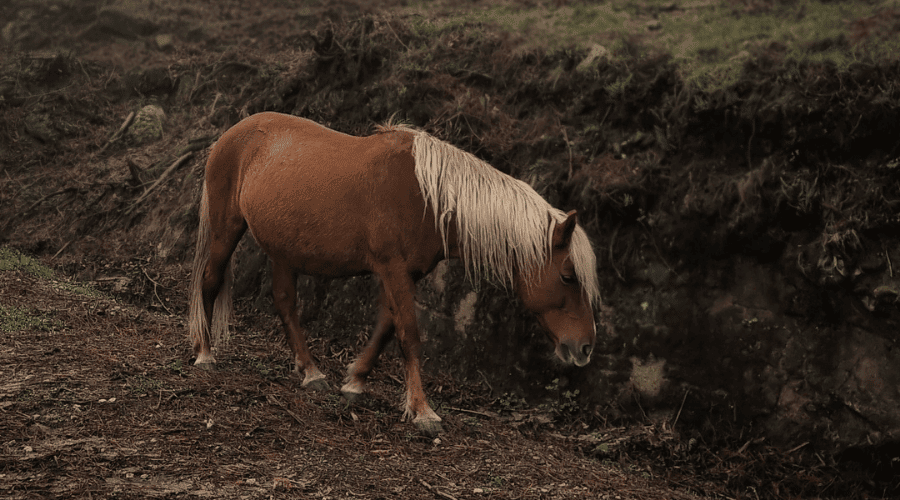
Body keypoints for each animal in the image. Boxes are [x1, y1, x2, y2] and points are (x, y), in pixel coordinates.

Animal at [188, 112, 602, 436]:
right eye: (568, 276)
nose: (585, 347)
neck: (425, 195)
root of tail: (233, 133)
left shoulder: (406, 273)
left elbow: (387, 326)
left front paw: (355, 382)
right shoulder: (393, 268)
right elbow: (410, 335)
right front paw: (422, 411)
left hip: (284, 252)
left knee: (285, 303)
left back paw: (311, 372)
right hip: (227, 229)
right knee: (210, 281)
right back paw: (205, 355)